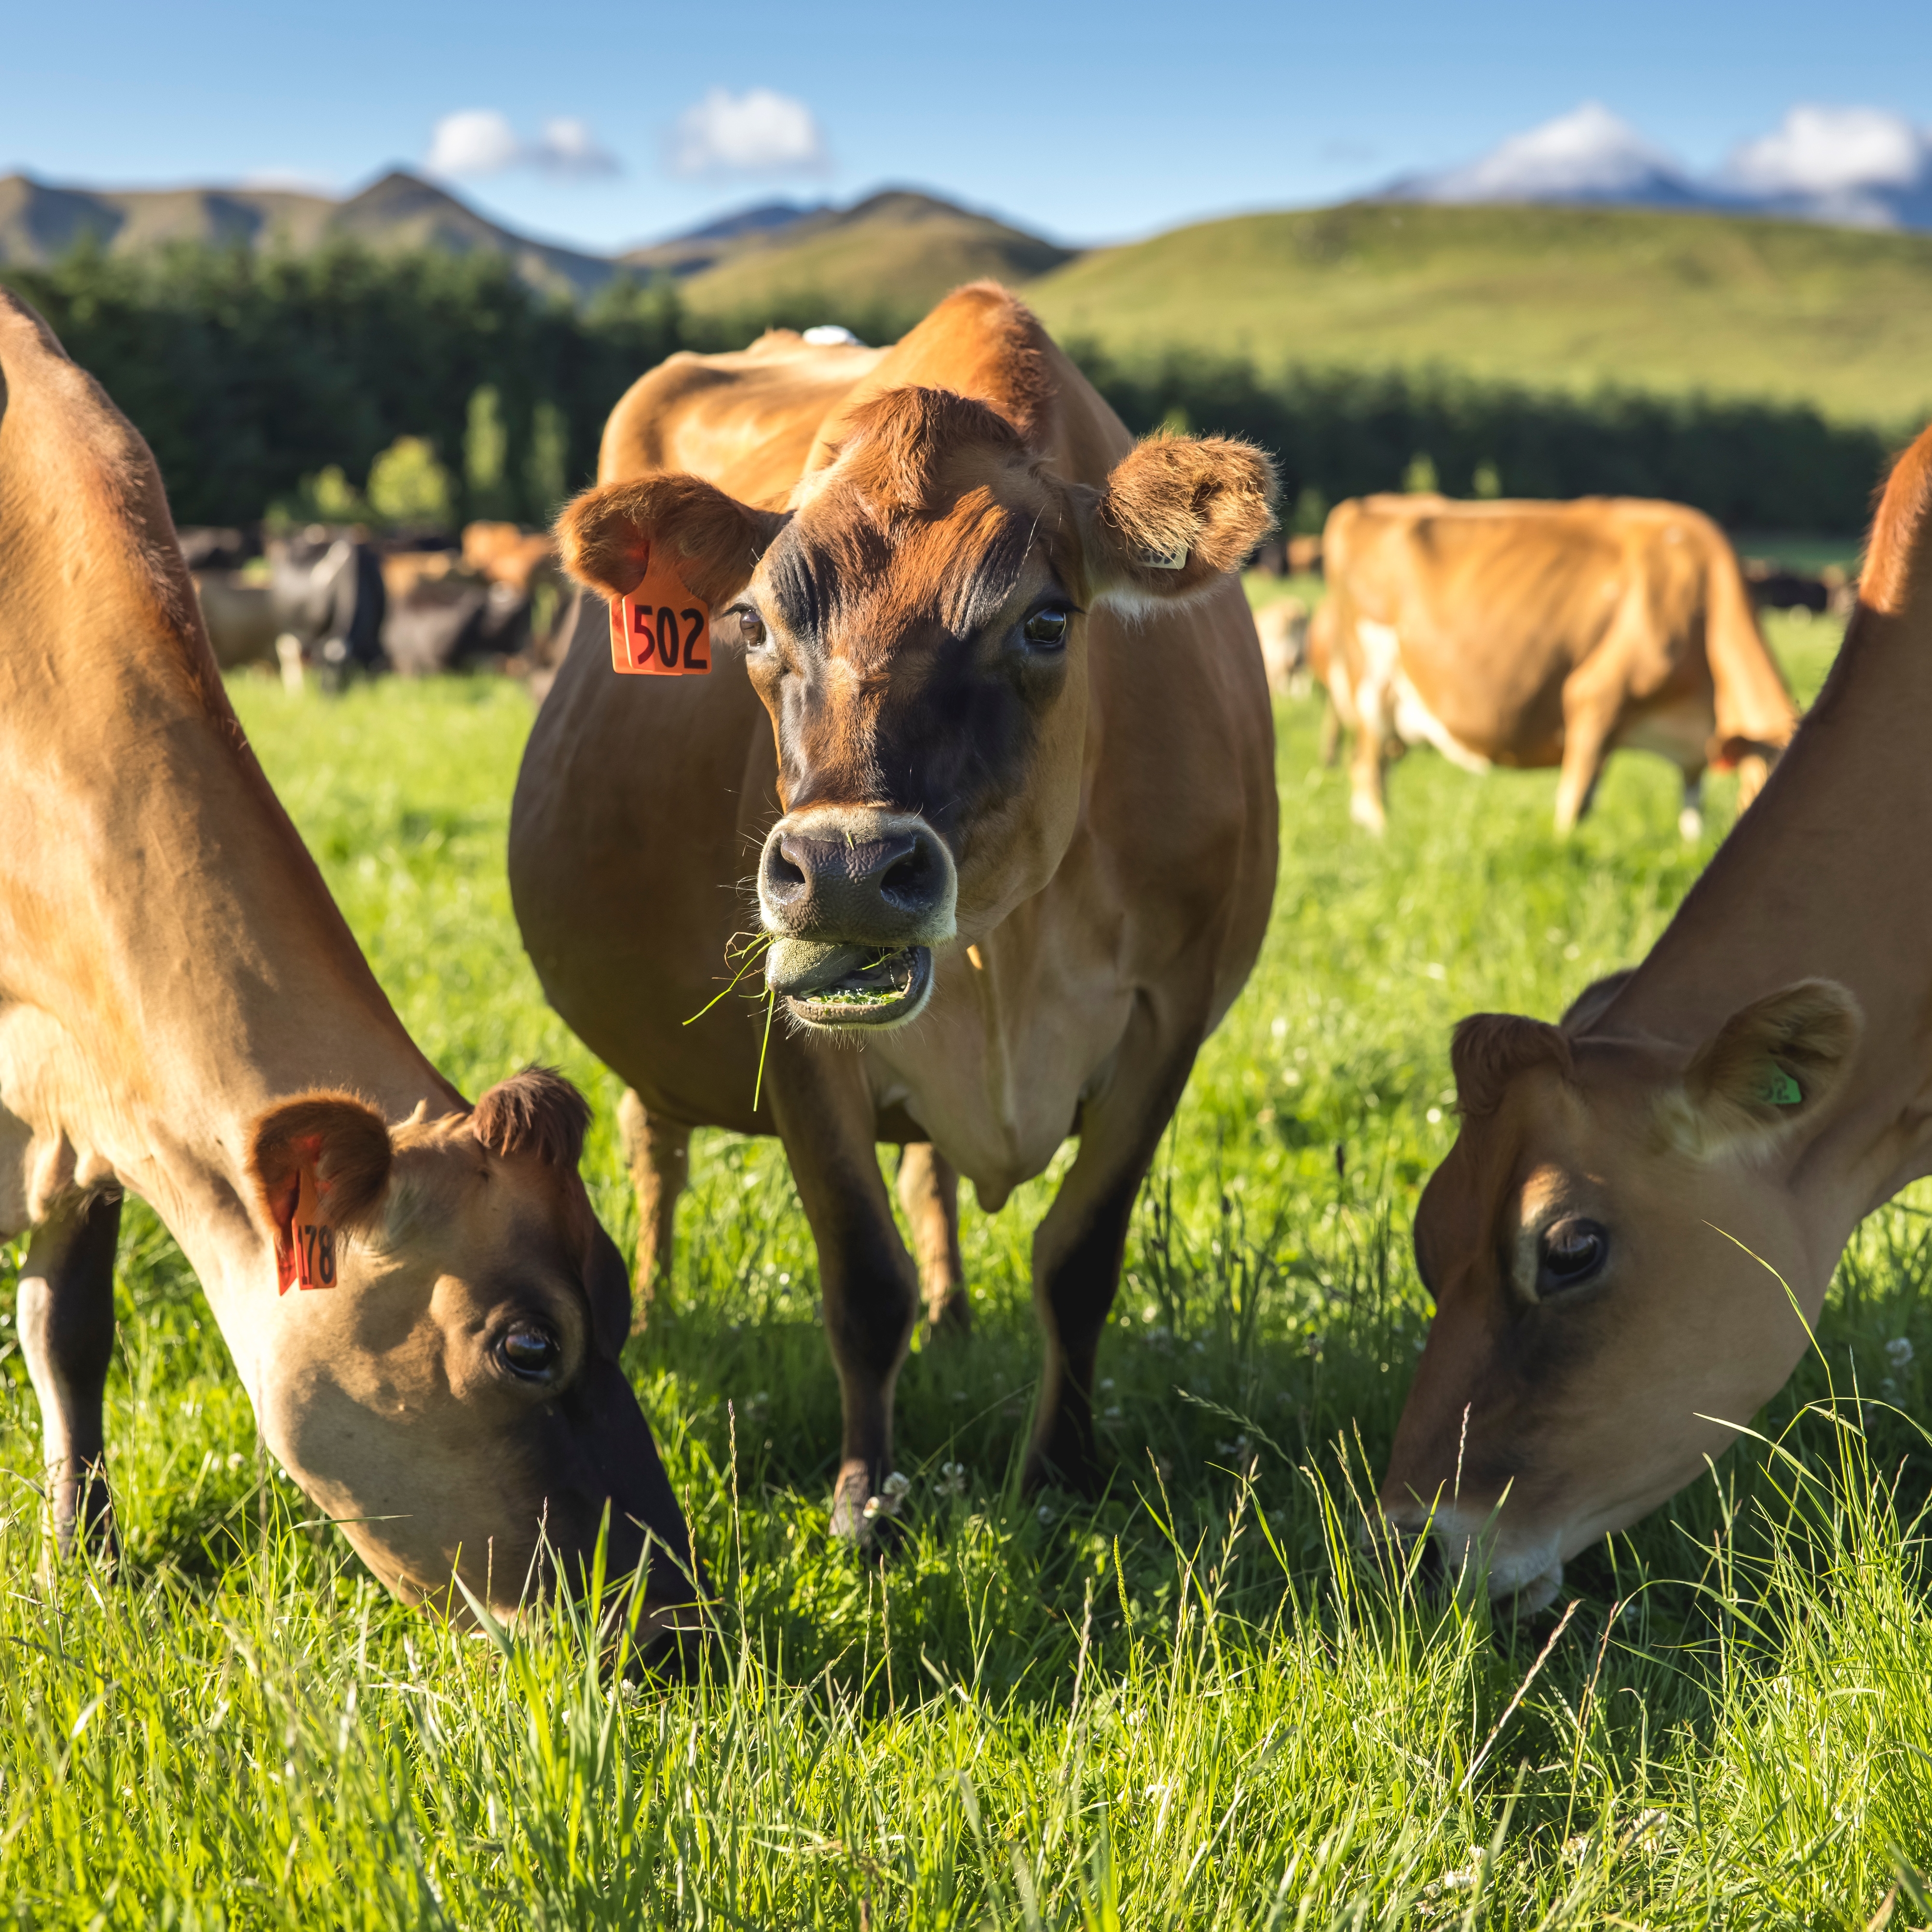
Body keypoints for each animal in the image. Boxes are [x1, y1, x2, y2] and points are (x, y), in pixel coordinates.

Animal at [0, 288, 696, 1631]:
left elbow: (69, 1332)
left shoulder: (96, 1100)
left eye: (624, 1302)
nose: (674, 1624)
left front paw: (82, 1564)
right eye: (530, 1345)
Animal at [509, 284, 1278, 1536]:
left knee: (926, 1168)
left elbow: (1080, 1256)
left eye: (1045, 621)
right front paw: (867, 1498)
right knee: (652, 1140)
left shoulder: (1171, 1013)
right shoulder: (789, 1027)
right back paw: (661, 1300)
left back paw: (956, 1314)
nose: (846, 868)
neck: (1006, 949)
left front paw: (1062, 1468)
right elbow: (863, 1277)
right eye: (753, 626)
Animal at [1316, 494, 1798, 838]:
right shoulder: (1597, 696)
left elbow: (1691, 813)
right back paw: (1383, 836)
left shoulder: (1691, 751)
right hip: (1372, 685)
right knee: (1367, 770)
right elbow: (1574, 803)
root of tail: (1364, 505)